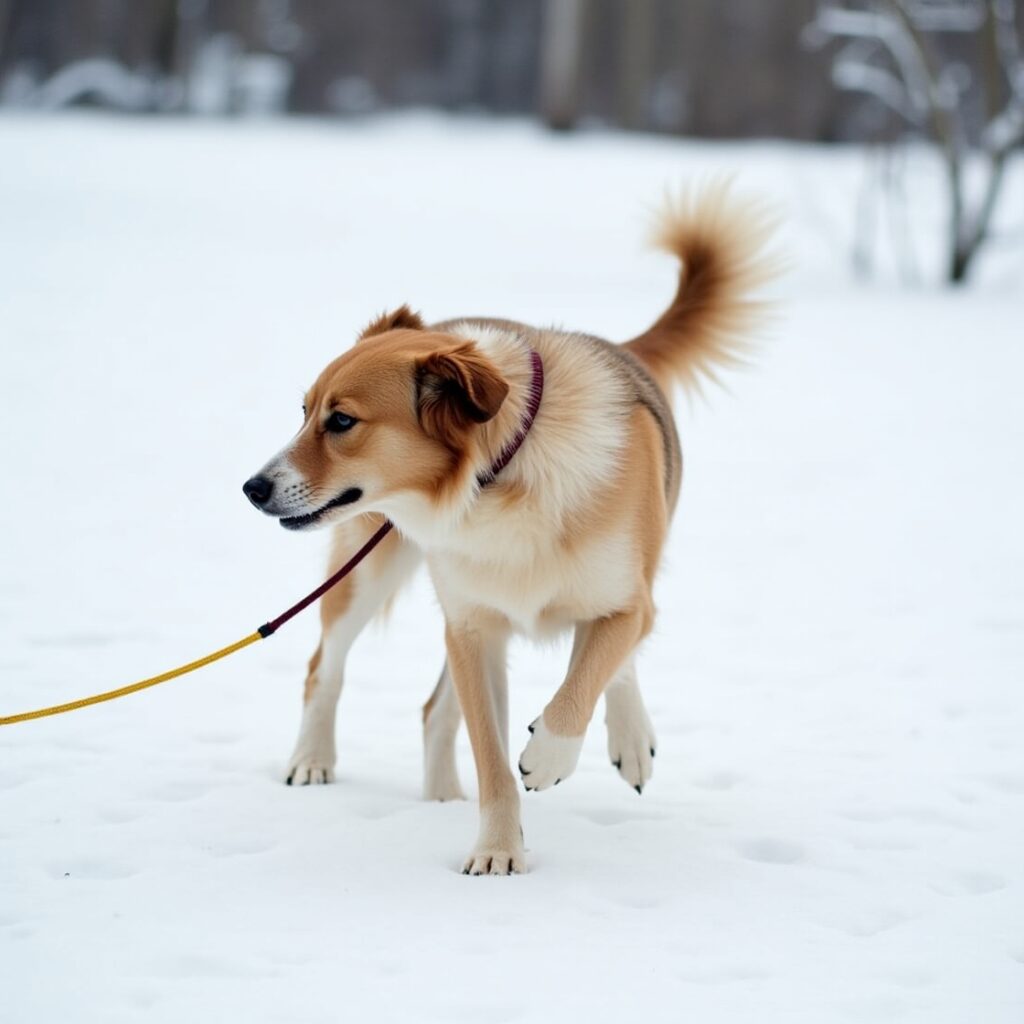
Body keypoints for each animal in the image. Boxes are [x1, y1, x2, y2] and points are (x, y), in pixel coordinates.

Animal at [243, 184, 770, 872]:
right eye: (304, 413)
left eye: (341, 421)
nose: (253, 488)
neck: (501, 476)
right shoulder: (472, 629)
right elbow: (492, 758)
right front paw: (497, 849)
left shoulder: (625, 602)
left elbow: (587, 679)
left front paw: (548, 757)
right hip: (368, 572)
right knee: (327, 668)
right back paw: (314, 760)